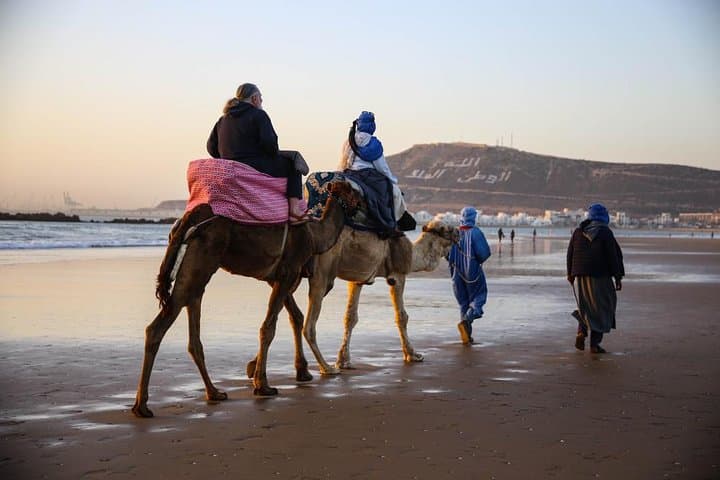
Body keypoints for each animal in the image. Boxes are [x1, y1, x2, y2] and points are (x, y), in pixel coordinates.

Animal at [131, 181, 361, 418]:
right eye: (353, 191)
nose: (363, 204)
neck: (315, 236)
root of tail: (187, 220)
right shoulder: (288, 272)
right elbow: (269, 327)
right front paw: (263, 385)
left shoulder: (277, 278)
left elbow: (295, 317)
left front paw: (301, 372)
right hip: (199, 263)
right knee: (158, 326)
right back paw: (142, 406)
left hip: (195, 272)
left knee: (192, 333)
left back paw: (214, 393)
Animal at [302, 218, 459, 374]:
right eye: (448, 229)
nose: (458, 233)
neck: (412, 254)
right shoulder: (398, 274)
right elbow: (402, 316)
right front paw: (412, 355)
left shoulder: (358, 279)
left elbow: (350, 317)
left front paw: (343, 361)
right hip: (322, 270)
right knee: (309, 324)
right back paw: (326, 368)